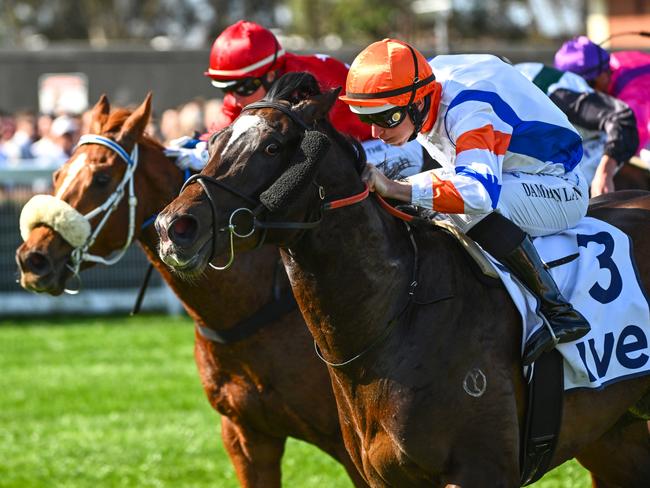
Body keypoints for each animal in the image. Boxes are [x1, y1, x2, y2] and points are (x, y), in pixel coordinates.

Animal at [15, 93, 368, 486]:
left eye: (102, 178)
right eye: (58, 174)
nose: (33, 258)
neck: (250, 308)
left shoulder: (351, 445)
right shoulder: (246, 436)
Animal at [154, 73, 648, 488]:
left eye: (272, 147)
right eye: (214, 141)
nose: (174, 227)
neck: (397, 317)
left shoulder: (481, 469)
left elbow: (476, 188)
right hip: (614, 437)